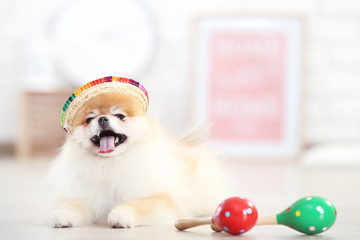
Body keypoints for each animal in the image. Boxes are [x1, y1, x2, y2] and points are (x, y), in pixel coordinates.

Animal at [47, 79, 229, 229]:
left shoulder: (162, 199)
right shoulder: (86, 197)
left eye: (119, 116)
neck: (110, 163)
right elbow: (71, 204)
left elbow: (137, 204)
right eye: (89, 119)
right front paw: (62, 216)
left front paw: (120, 215)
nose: (102, 118)